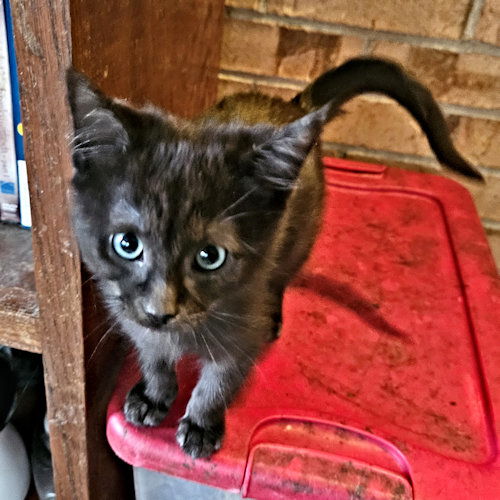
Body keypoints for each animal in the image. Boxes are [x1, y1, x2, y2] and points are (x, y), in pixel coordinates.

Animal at [67, 57, 482, 459]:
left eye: (210, 256)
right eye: (127, 244)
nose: (160, 311)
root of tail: (291, 105)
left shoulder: (242, 324)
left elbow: (220, 380)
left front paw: (201, 423)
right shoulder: (131, 317)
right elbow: (153, 357)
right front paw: (154, 395)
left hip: (298, 242)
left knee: (281, 277)